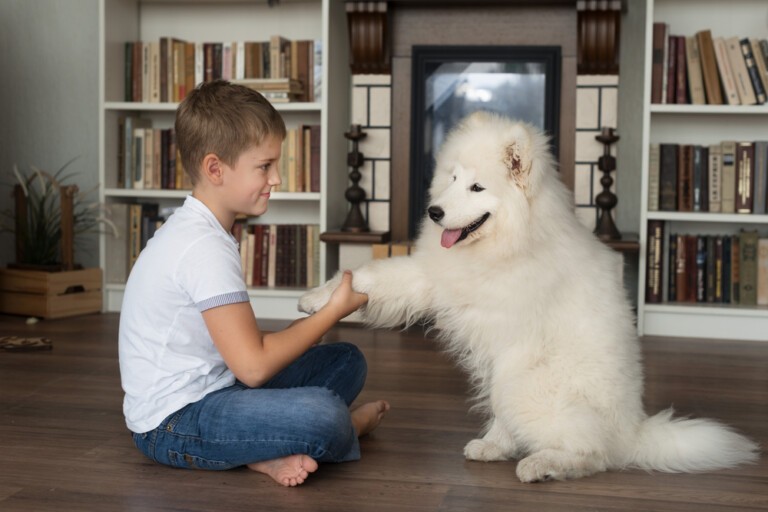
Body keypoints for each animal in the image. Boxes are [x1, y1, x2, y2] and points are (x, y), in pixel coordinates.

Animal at [296, 111, 760, 480]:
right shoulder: (435, 276)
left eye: (478, 188)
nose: (434, 212)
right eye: (453, 179)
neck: (511, 241)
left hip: (529, 385)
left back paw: (538, 464)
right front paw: (317, 299)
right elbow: (368, 277)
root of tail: (633, 430)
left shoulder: (497, 324)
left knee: (594, 454)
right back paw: (497, 449)